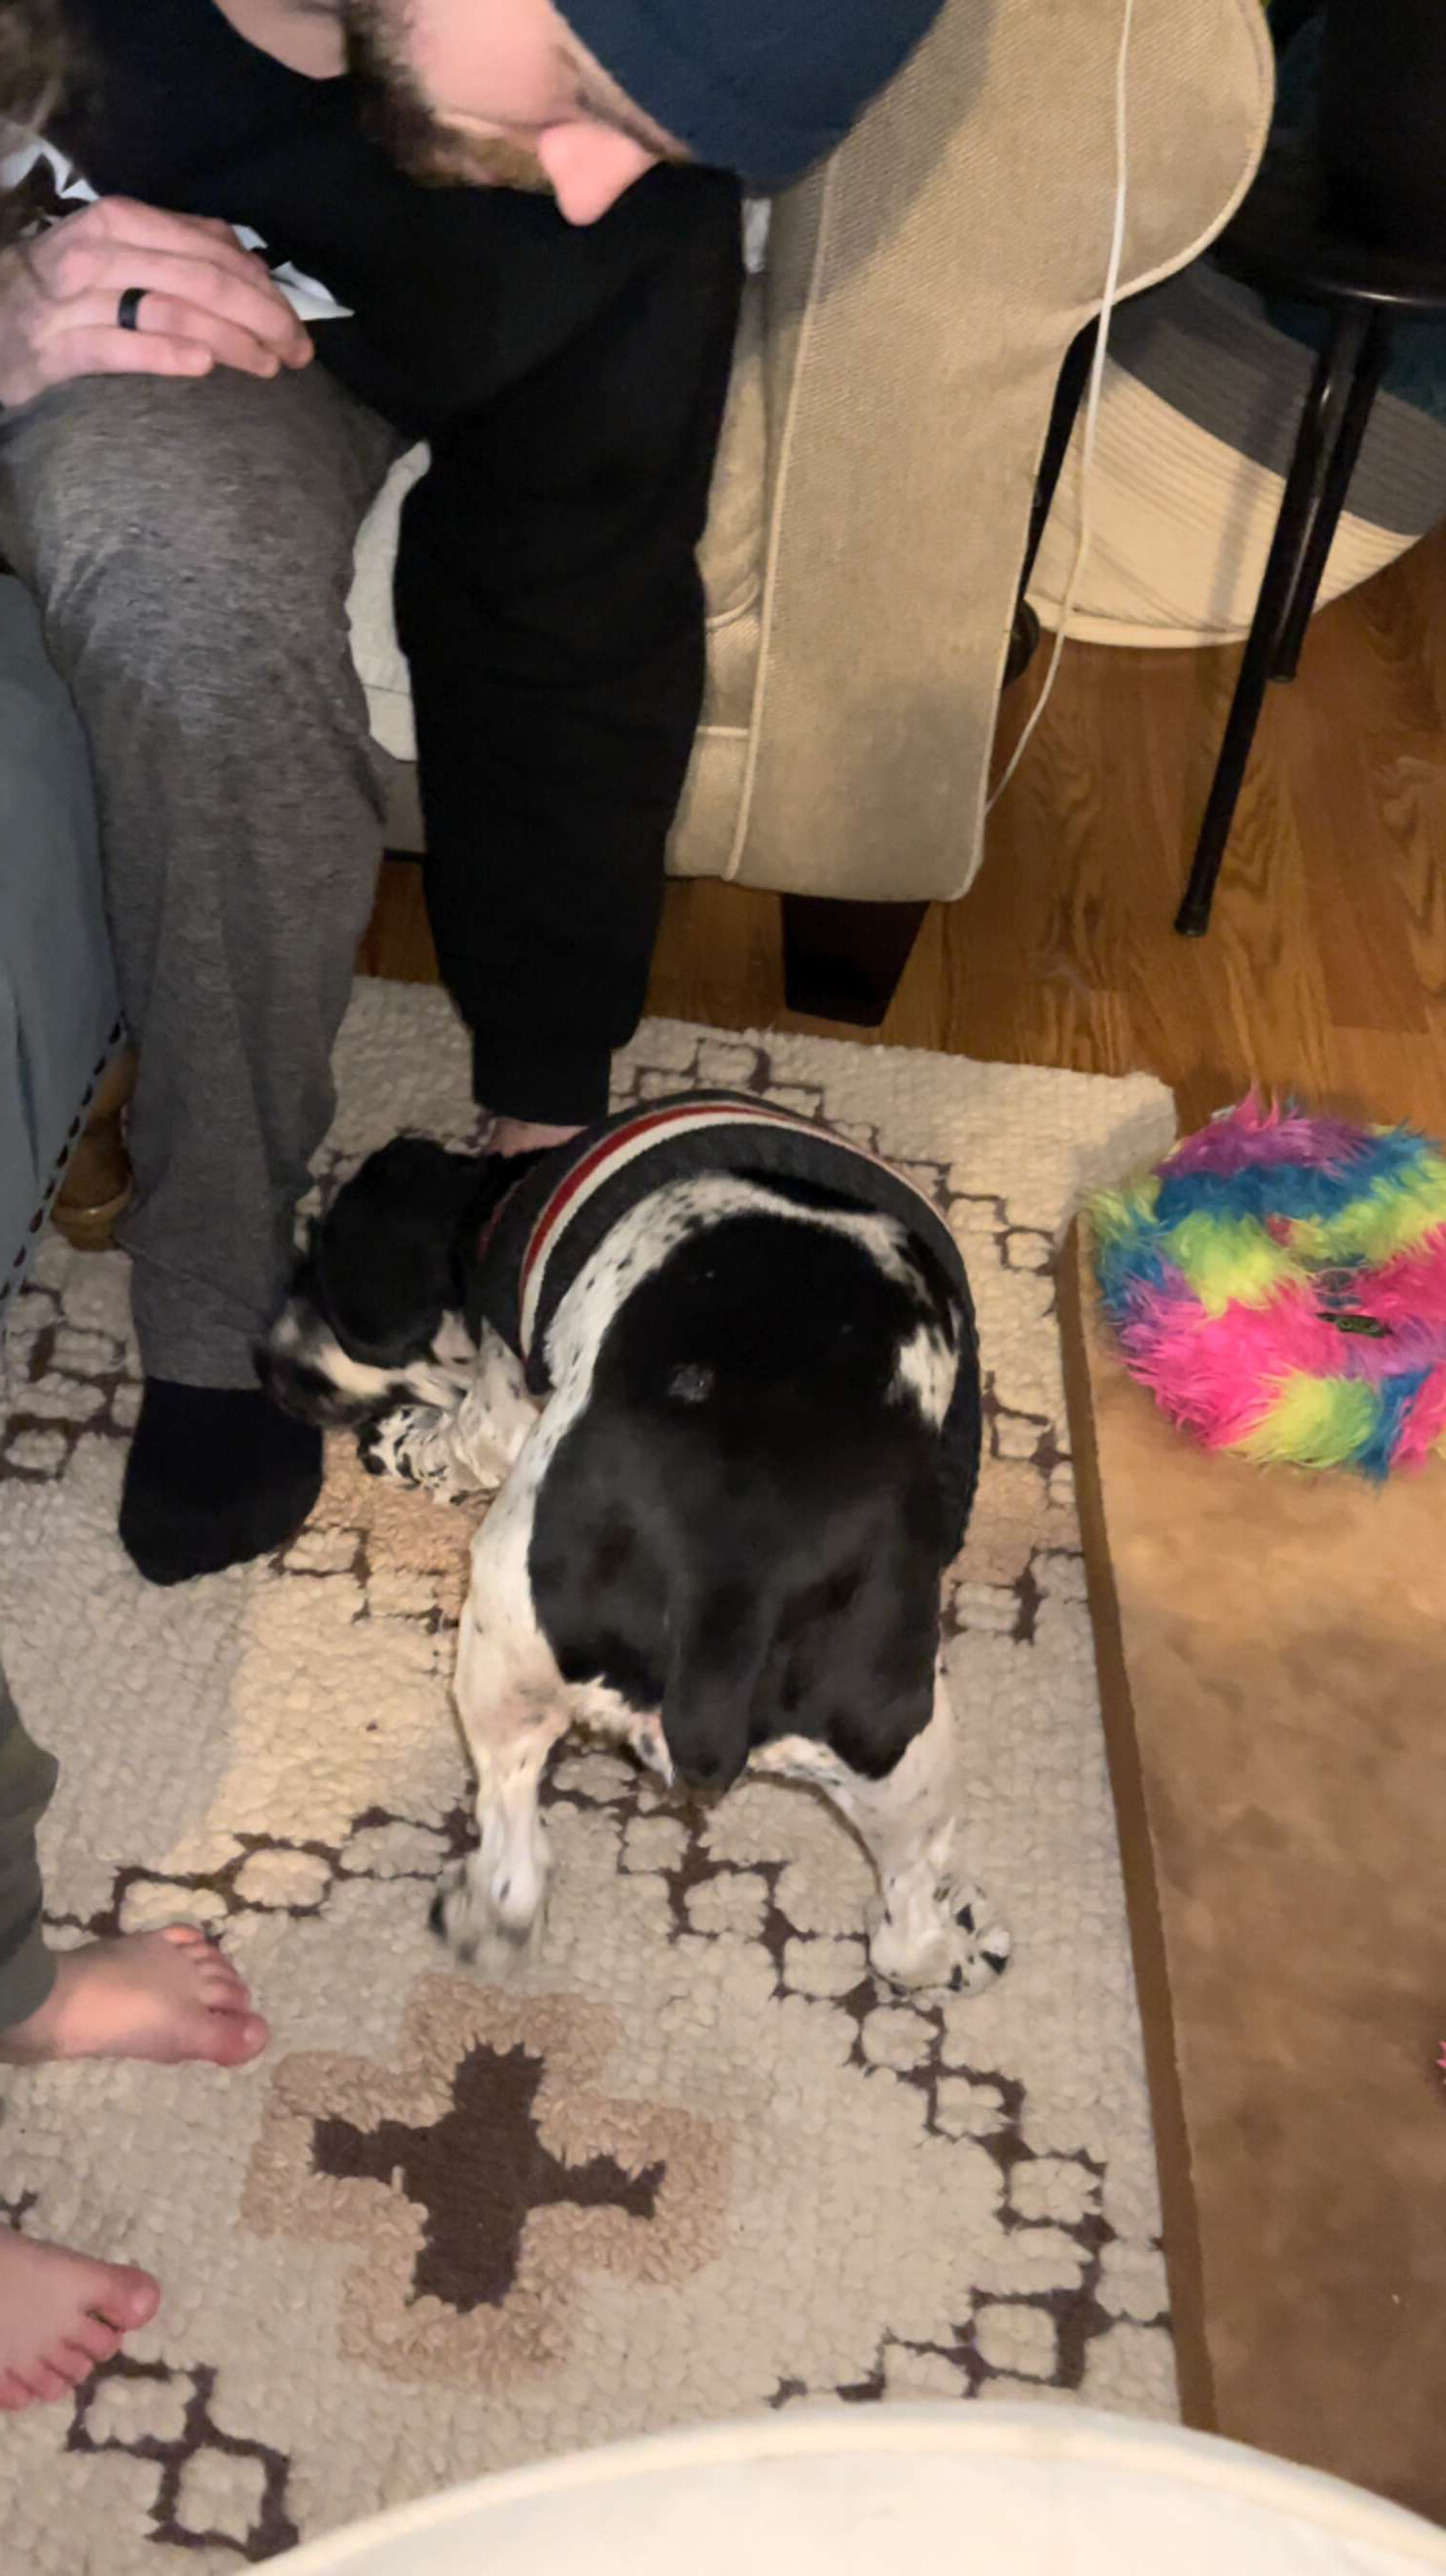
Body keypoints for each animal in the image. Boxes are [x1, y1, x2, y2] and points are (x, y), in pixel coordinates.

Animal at [259, 1092, 1010, 1996]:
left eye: (309, 1268)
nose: (265, 1367)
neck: (494, 1204)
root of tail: (732, 1586)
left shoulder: (503, 1405)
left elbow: (462, 1437)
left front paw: (405, 1445)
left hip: (507, 1648)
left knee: (514, 1859)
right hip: (899, 1740)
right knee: (900, 1928)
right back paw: (957, 1947)